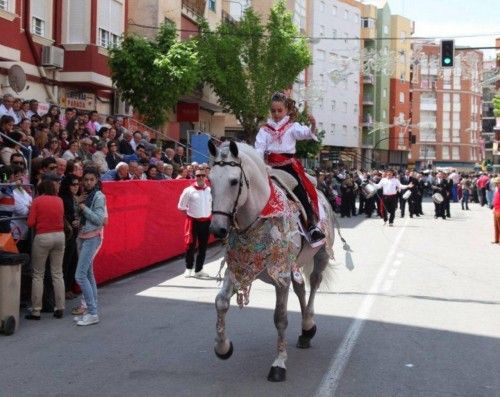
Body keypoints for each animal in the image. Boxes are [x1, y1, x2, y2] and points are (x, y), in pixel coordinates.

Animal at [207, 141, 336, 382]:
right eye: (209, 180)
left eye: (234, 181)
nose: (217, 229)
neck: (260, 217)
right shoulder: (236, 269)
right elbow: (221, 303)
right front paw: (223, 347)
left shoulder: (281, 277)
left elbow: (280, 318)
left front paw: (279, 364)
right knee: (301, 288)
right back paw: (306, 333)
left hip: (321, 255)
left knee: (314, 283)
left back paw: (308, 323)